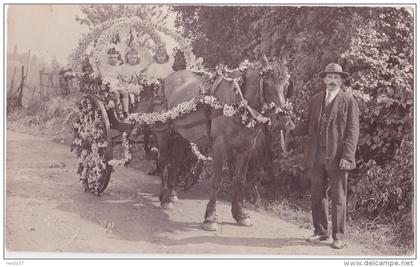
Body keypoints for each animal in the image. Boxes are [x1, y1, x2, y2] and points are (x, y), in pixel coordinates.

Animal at [134, 54, 292, 230]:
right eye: (268, 84)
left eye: (287, 85)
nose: (284, 120)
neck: (238, 102)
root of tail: (166, 80)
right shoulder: (219, 146)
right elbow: (216, 181)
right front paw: (210, 216)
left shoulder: (246, 149)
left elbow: (239, 180)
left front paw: (240, 214)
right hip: (163, 133)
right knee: (163, 161)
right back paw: (164, 197)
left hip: (181, 134)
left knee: (174, 162)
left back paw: (172, 194)